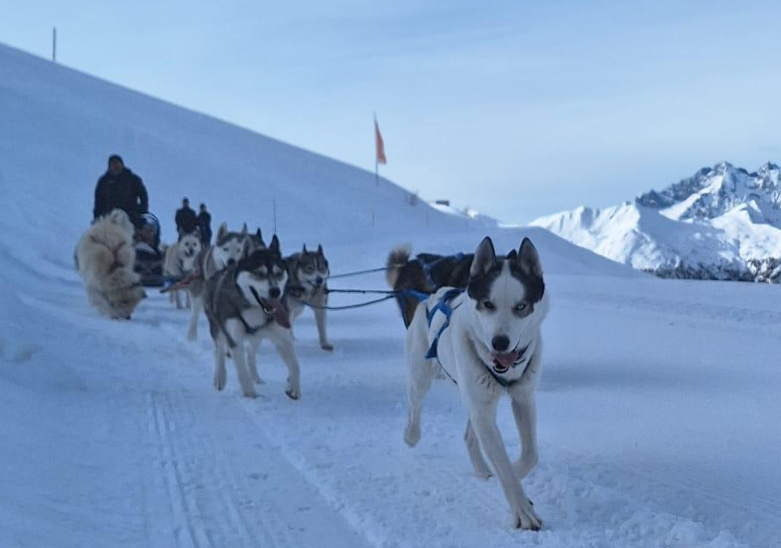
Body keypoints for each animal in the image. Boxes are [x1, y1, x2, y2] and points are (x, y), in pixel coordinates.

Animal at [203, 235, 300, 398]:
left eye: (278, 273)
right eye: (259, 274)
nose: (275, 291)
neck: (254, 308)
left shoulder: (282, 338)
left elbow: (295, 364)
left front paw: (293, 387)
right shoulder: (234, 339)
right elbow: (242, 371)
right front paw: (251, 395)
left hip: (258, 336)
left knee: (250, 353)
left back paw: (256, 377)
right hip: (216, 327)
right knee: (219, 350)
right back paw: (220, 377)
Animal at [402, 237, 548, 532]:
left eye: (521, 306)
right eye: (487, 303)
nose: (500, 343)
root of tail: (434, 295)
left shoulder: (523, 399)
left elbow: (529, 455)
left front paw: (514, 473)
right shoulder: (483, 407)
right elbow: (503, 463)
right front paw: (522, 510)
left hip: (477, 398)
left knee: (470, 435)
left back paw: (482, 469)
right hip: (423, 376)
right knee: (415, 404)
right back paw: (411, 435)